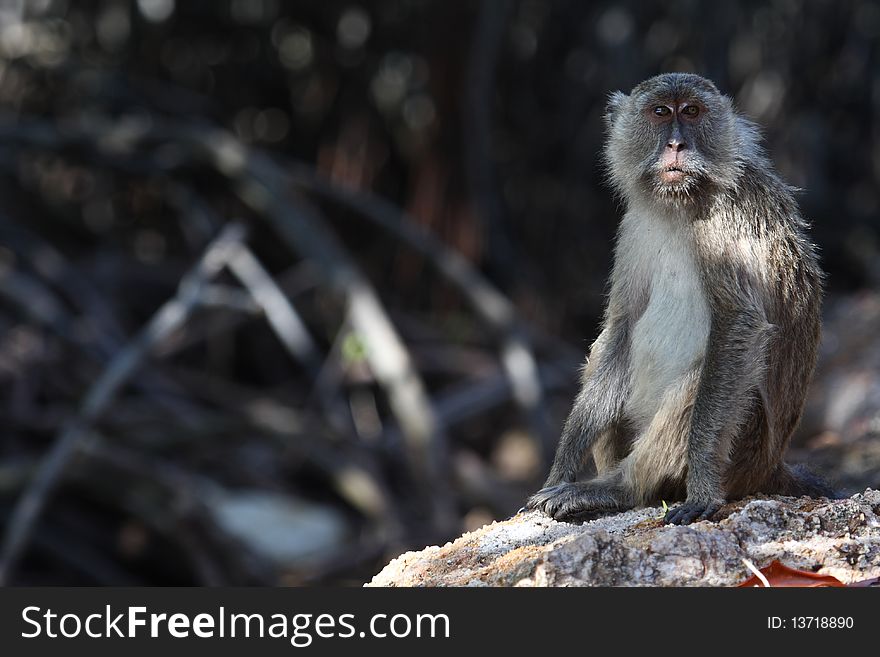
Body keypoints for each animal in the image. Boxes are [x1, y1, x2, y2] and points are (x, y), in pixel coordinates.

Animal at [524, 72, 836, 524]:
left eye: (690, 112)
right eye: (660, 112)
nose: (676, 144)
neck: (679, 203)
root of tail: (772, 468)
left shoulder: (727, 219)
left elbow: (737, 323)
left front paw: (702, 487)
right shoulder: (634, 226)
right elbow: (621, 328)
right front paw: (561, 465)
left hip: (747, 450)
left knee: (704, 380)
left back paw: (619, 490)